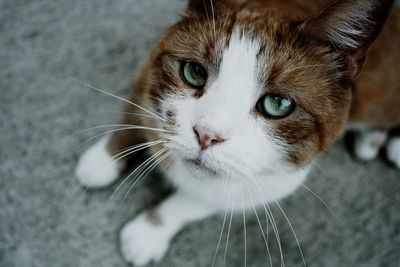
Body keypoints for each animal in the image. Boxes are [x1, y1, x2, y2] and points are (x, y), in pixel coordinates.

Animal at [76, 0, 398, 266]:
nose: (206, 134)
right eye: (194, 72)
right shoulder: (148, 70)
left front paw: (148, 233)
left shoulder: (274, 182)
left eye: (278, 104)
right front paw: (102, 160)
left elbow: (190, 203)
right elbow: (131, 114)